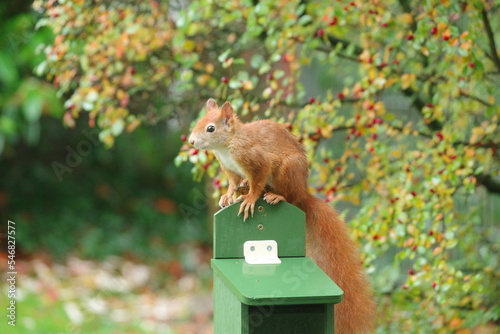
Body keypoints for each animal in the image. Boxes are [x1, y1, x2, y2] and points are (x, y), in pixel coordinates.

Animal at [190, 98, 376, 332]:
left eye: (210, 128)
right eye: (198, 123)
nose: (191, 141)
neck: (227, 145)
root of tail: (303, 193)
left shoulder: (255, 158)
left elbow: (258, 180)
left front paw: (250, 199)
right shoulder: (230, 169)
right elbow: (232, 183)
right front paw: (227, 196)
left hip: (287, 169)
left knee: (286, 194)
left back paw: (275, 196)